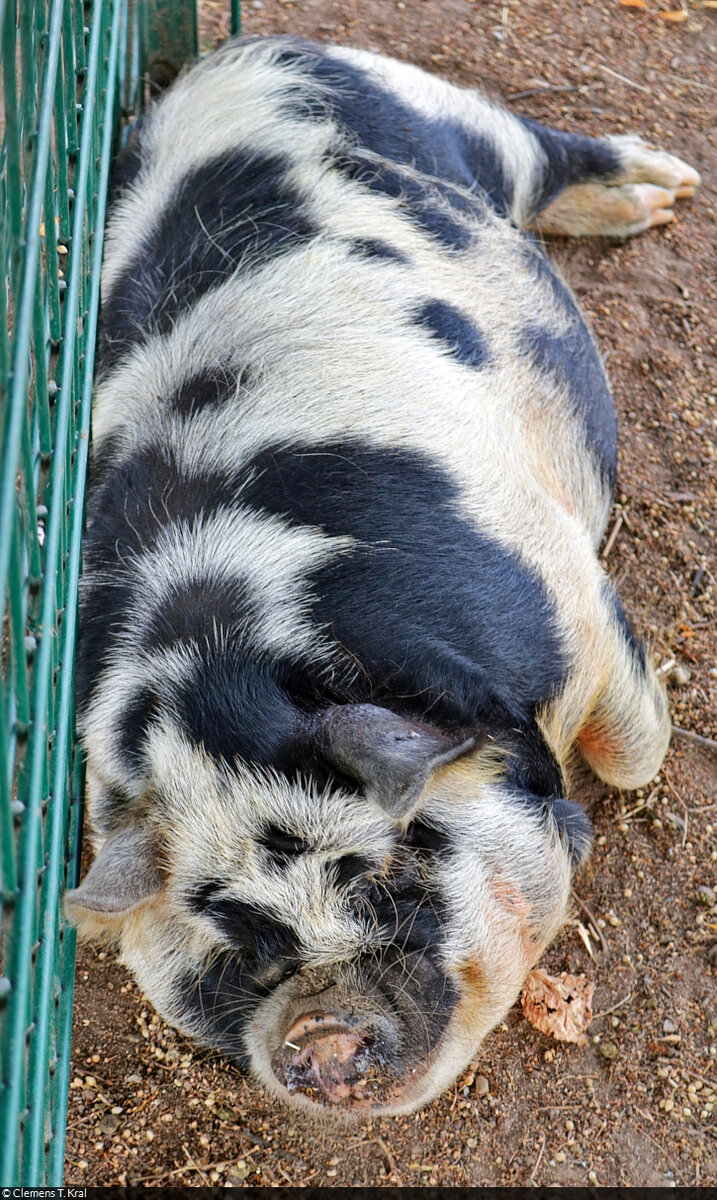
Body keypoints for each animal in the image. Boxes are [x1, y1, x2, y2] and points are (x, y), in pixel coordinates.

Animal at [64, 32, 700, 1113]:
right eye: (237, 946)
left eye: (390, 872)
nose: (321, 1036)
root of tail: (242, 49)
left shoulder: (568, 589)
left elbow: (632, 752)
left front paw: (667, 693)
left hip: (442, 112)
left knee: (535, 150)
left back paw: (665, 189)